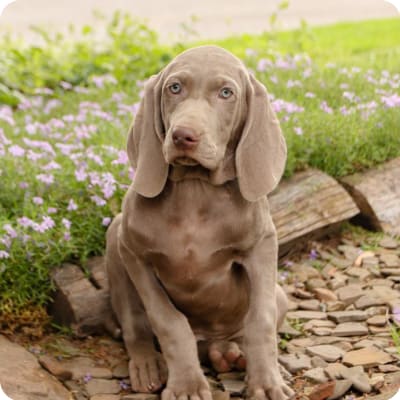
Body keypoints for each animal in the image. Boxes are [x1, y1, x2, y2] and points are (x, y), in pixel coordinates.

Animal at [105, 44, 294, 400]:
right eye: (174, 88)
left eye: (226, 93)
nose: (183, 135)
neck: (195, 188)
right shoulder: (133, 252)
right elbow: (167, 321)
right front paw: (187, 385)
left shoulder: (262, 245)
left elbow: (260, 319)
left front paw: (266, 382)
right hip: (113, 238)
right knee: (135, 323)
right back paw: (149, 364)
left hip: (280, 294)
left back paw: (234, 353)